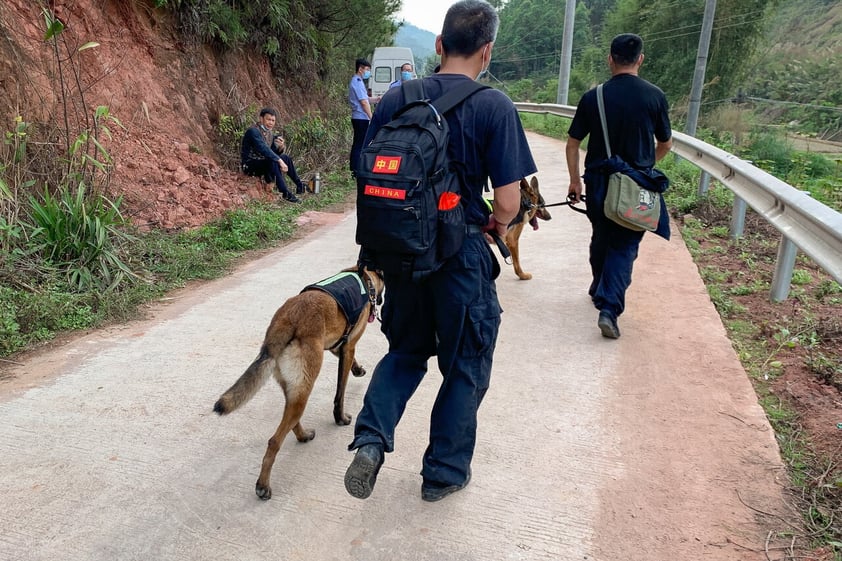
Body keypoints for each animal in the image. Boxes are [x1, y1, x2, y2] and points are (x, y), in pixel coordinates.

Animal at [217, 266, 388, 498]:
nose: (379, 303)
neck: (364, 277)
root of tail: (285, 320)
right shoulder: (349, 346)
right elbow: (340, 393)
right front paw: (341, 418)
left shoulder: (336, 346)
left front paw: (358, 369)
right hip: (305, 386)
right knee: (274, 440)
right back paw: (263, 485)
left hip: (295, 388)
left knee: (291, 419)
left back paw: (303, 435)